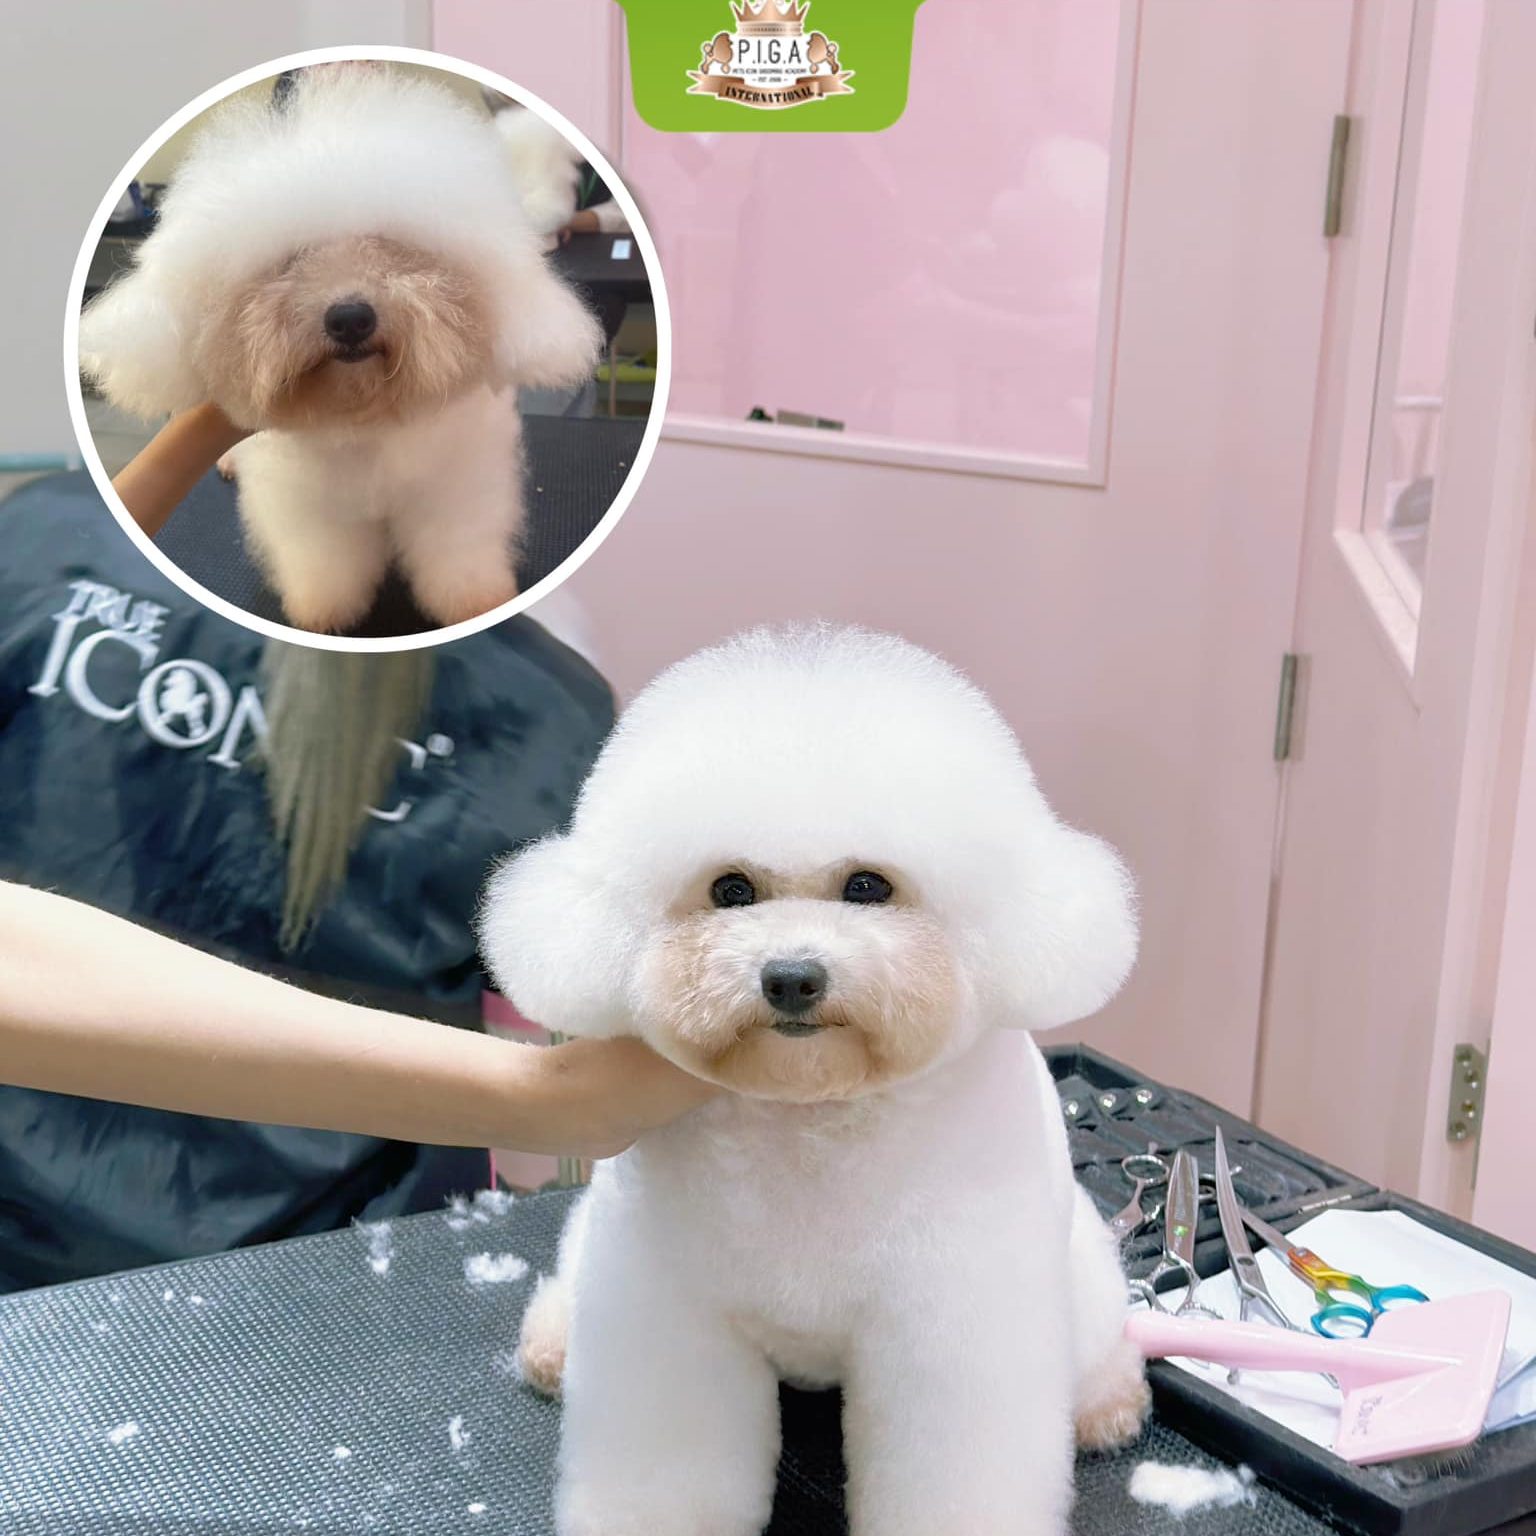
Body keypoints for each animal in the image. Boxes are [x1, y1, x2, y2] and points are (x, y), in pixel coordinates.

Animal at [79, 67, 601, 633]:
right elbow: (327, 562)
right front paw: (323, 613)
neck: (367, 418)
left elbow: (456, 552)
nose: (350, 317)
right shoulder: (312, 509)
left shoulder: (453, 487)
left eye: (391, 248)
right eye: (292, 260)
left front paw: (475, 603)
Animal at [479, 626, 1150, 1536]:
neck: (809, 1123)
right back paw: (553, 1343)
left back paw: (1107, 1403)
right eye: (730, 889)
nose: (791, 976)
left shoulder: (945, 1328)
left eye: (867, 885)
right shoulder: (669, 1311)